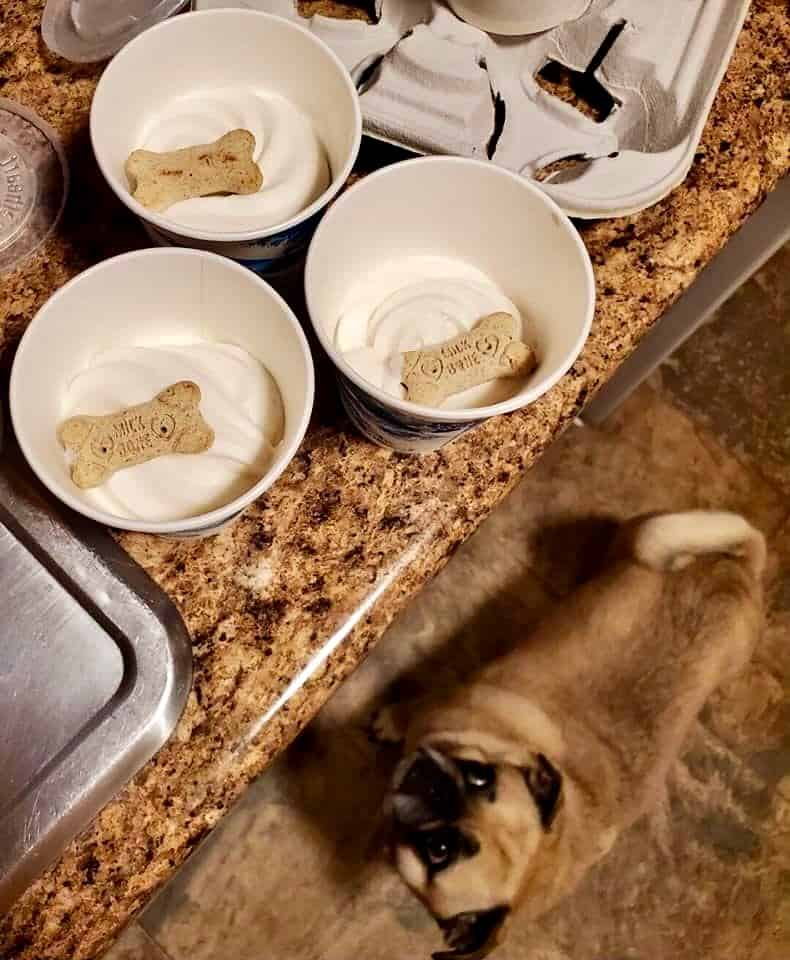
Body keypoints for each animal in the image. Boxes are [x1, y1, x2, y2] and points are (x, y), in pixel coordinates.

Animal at [378, 512, 768, 956]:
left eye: (439, 851)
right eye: (479, 776)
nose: (434, 784)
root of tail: (742, 568)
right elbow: (412, 708)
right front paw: (392, 719)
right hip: (647, 534)